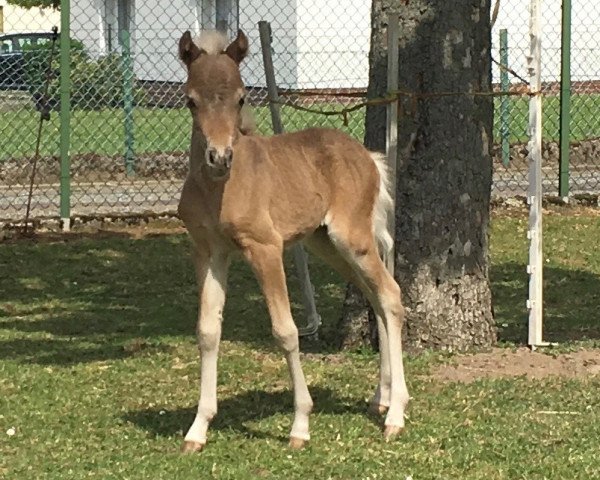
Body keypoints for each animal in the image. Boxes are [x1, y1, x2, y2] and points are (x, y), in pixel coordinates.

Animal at [173, 31, 408, 454]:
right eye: (190, 100)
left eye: (241, 98)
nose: (219, 157)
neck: (219, 188)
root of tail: (368, 156)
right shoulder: (209, 252)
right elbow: (208, 331)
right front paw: (197, 429)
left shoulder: (265, 248)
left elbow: (285, 331)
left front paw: (300, 425)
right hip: (324, 243)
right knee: (376, 298)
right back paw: (379, 400)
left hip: (353, 238)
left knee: (391, 295)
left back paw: (395, 415)